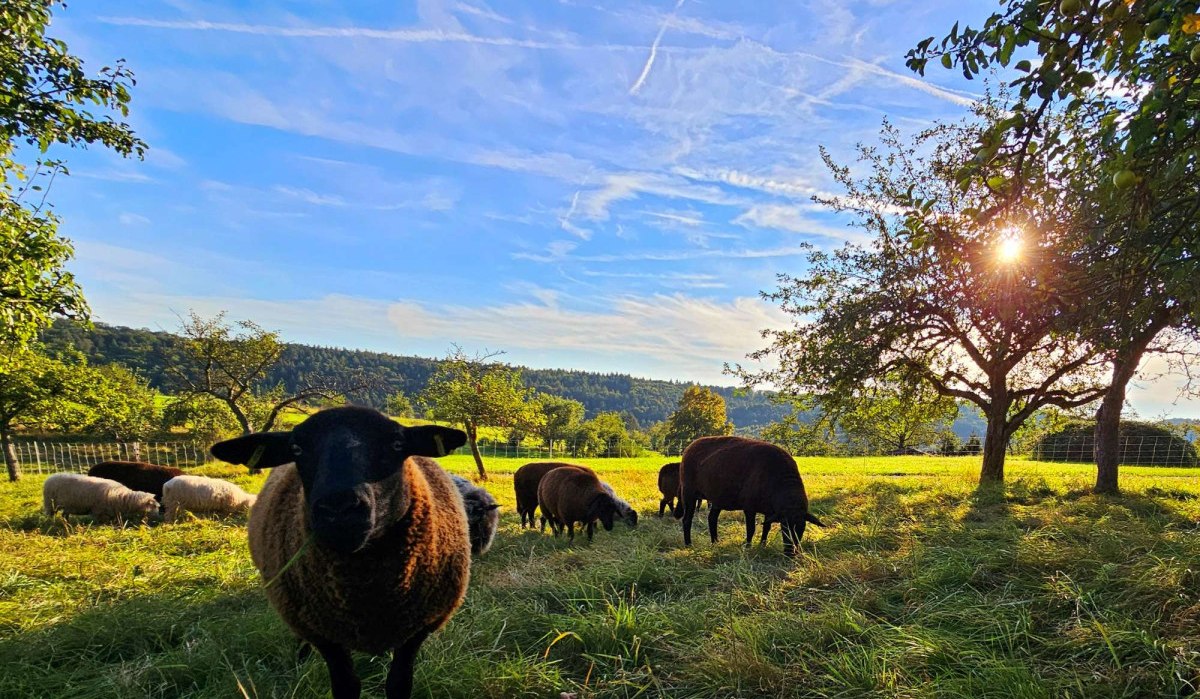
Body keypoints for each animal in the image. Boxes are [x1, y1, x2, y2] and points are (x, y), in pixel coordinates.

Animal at [210, 406, 471, 699]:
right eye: (296, 448)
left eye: (397, 444)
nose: (339, 508)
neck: (365, 592)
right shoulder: (324, 634)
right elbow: (347, 685)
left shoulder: (418, 628)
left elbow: (398, 683)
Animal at [678, 435, 825, 556]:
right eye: (784, 527)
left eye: (802, 528)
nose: (791, 553)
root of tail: (690, 446)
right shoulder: (749, 507)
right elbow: (751, 529)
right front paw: (748, 547)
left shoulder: (770, 510)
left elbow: (766, 527)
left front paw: (762, 544)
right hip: (689, 493)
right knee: (687, 520)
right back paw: (689, 545)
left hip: (717, 498)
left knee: (712, 519)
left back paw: (715, 542)